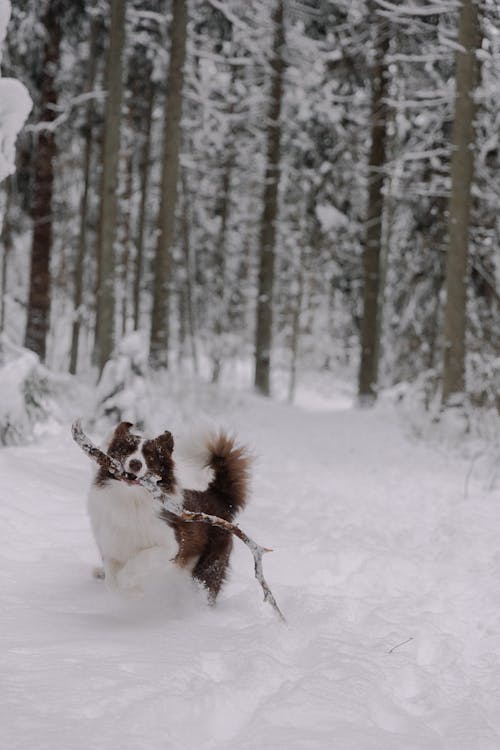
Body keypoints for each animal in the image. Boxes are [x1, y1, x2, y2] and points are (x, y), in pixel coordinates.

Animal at [87, 424, 250, 604]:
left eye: (150, 457)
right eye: (126, 450)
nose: (136, 464)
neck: (132, 500)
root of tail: (216, 496)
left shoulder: (172, 545)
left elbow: (139, 561)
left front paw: (132, 586)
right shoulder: (111, 545)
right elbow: (111, 582)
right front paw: (131, 592)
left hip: (209, 564)